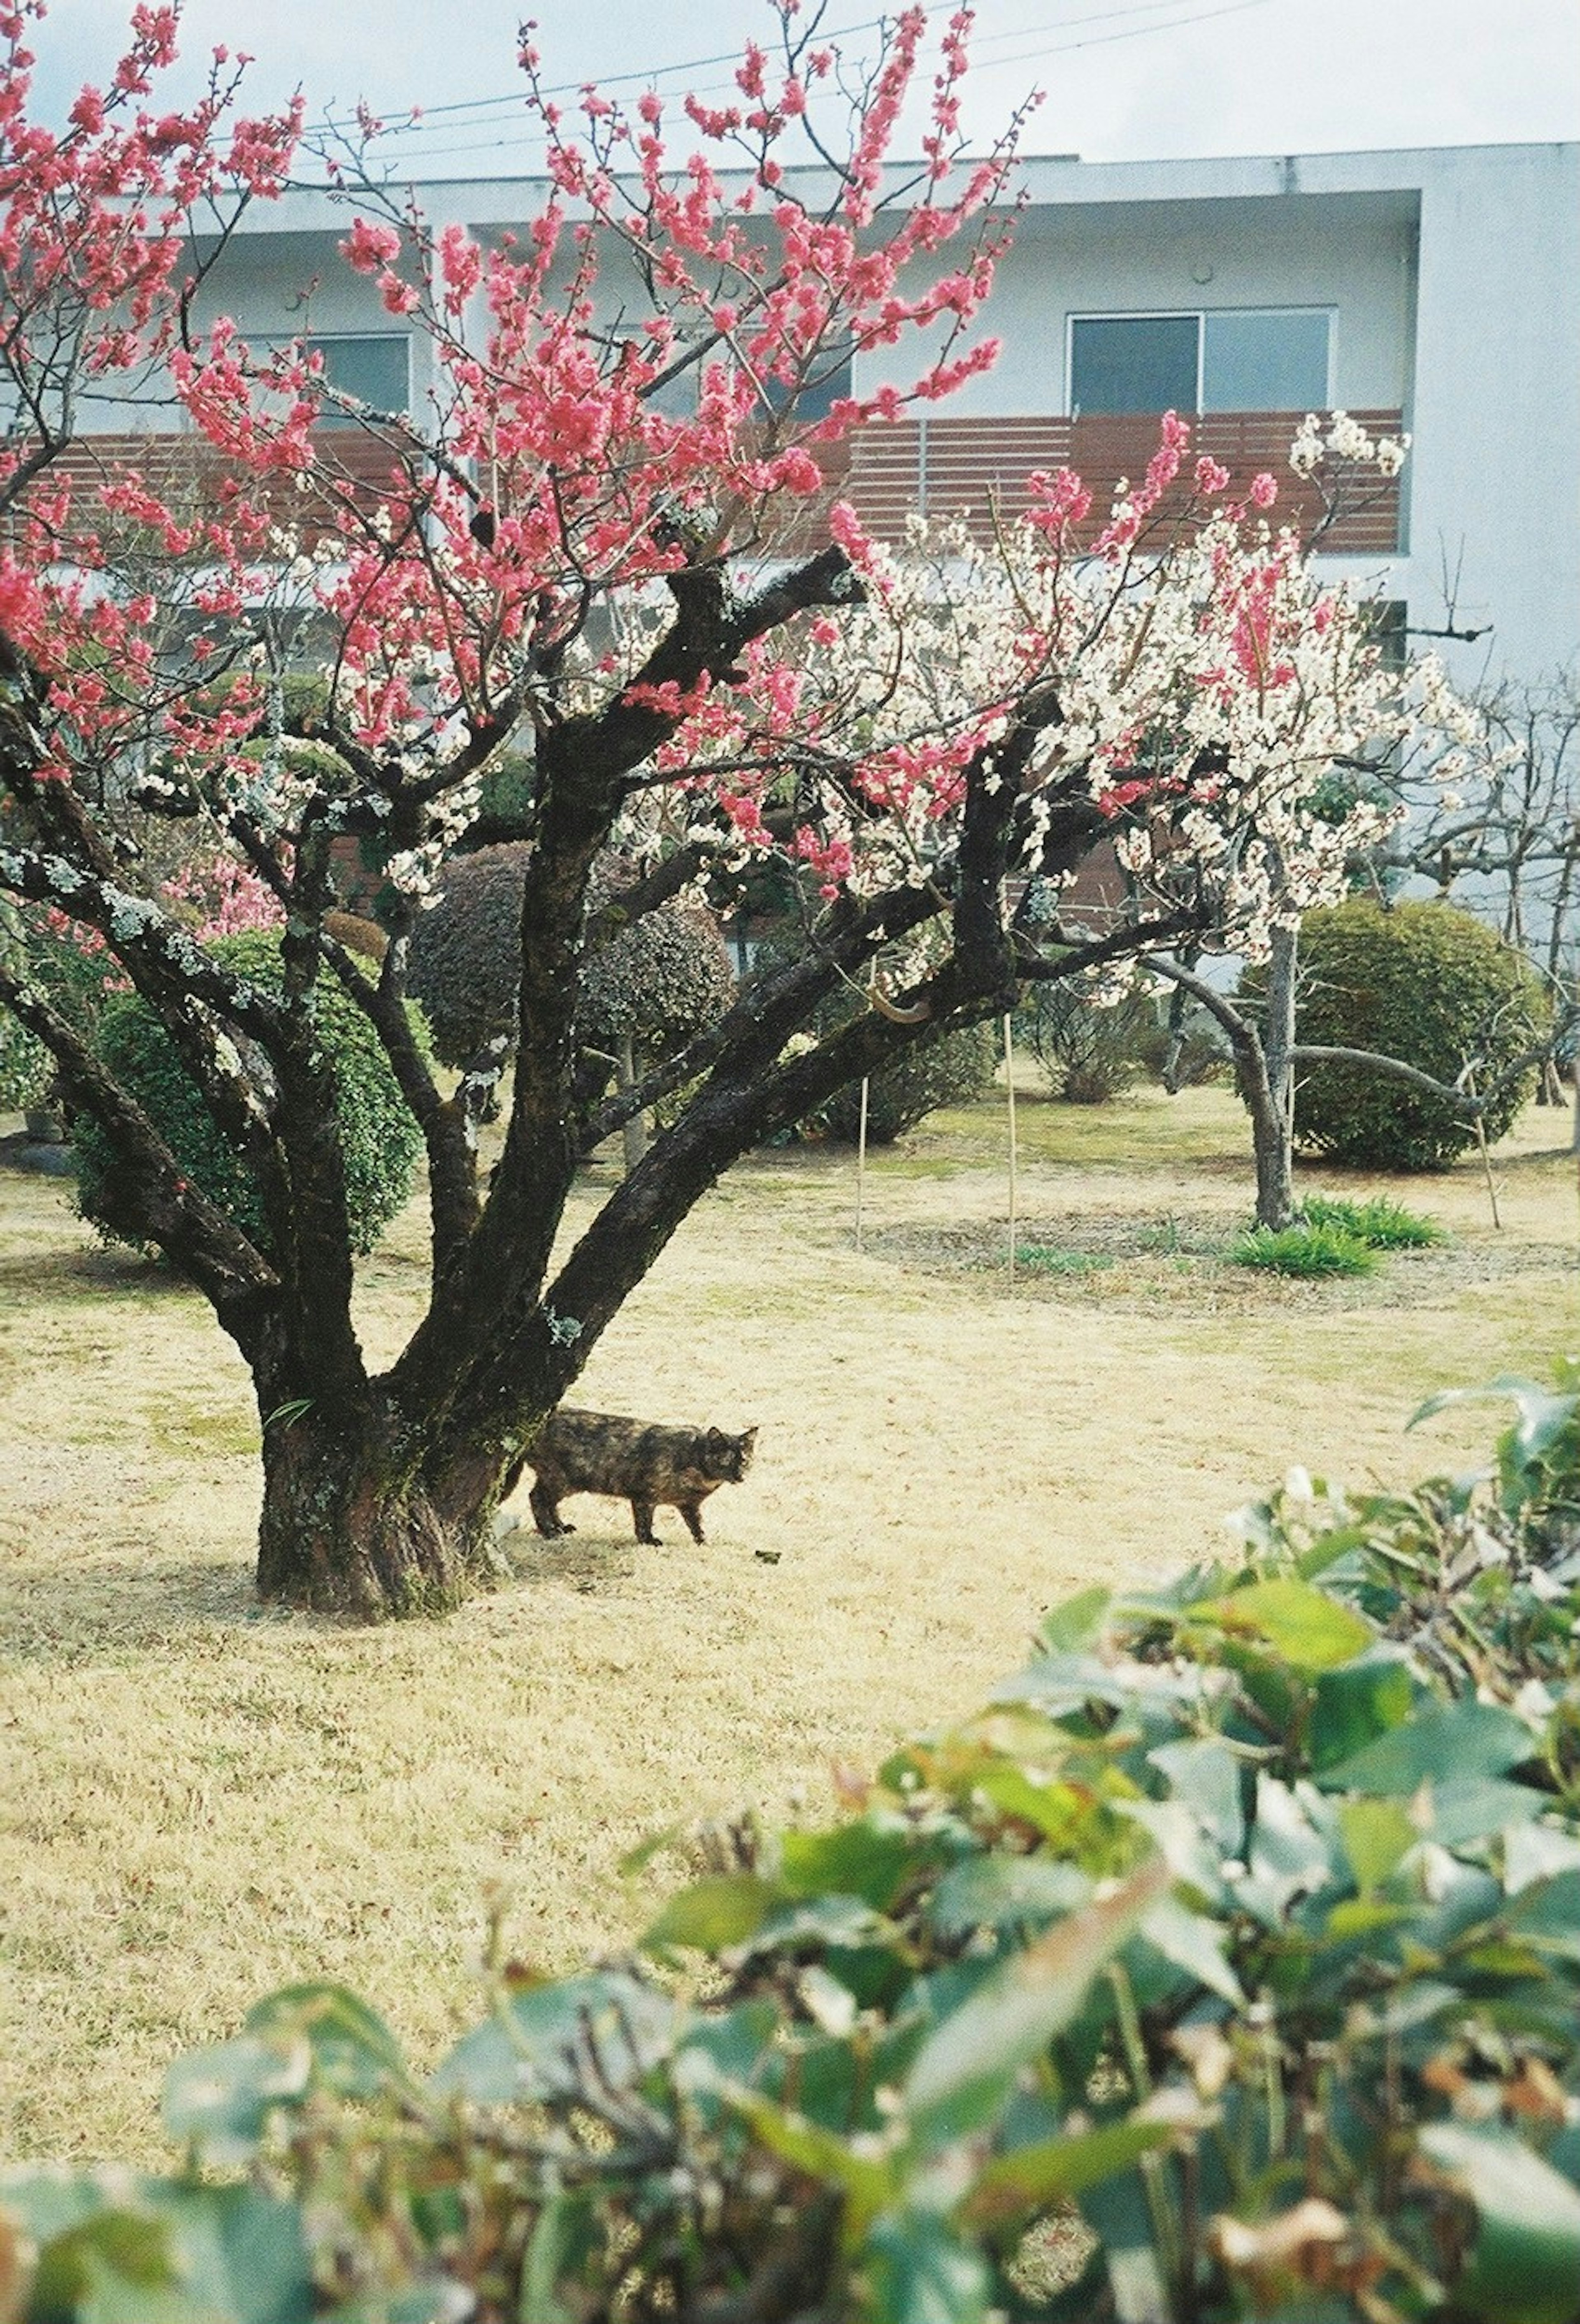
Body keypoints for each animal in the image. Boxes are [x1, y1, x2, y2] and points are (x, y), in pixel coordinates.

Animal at [525, 1404, 757, 1552]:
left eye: (744, 1461)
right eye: (725, 1461)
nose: (740, 1476)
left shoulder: (689, 1505)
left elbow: (697, 1524)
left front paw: (704, 1542)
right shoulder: (644, 1497)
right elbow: (645, 1522)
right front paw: (648, 1541)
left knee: (549, 1502)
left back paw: (561, 1527)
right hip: (561, 1479)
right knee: (537, 1497)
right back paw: (550, 1532)